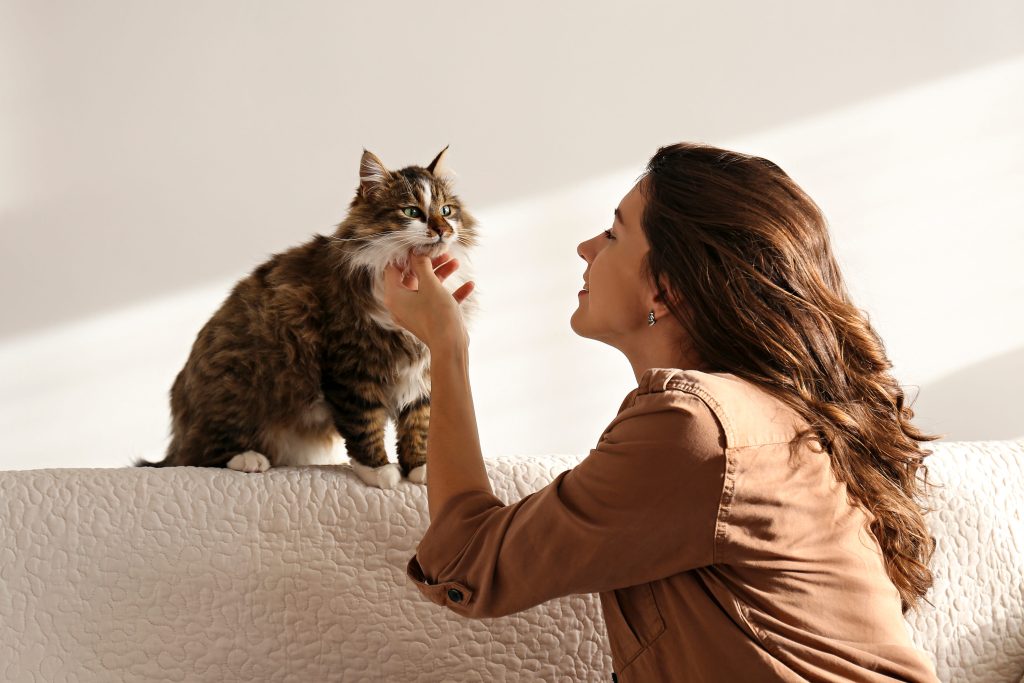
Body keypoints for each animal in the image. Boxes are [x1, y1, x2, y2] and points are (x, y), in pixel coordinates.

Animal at [135, 144, 479, 489]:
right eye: (411, 212)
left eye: (447, 210)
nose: (442, 230)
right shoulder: (351, 364)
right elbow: (363, 422)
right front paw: (379, 471)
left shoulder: (423, 368)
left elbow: (419, 422)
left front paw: (422, 468)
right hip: (237, 384)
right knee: (198, 455)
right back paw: (249, 459)